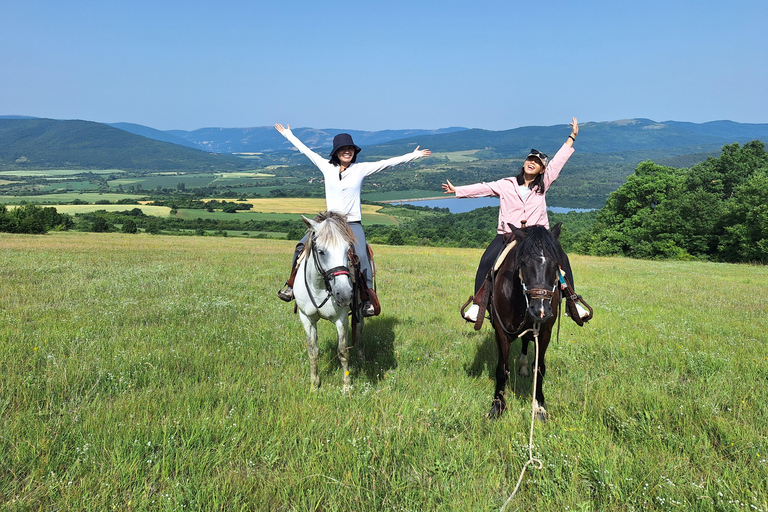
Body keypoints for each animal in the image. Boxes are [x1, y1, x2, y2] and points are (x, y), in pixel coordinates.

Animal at [293, 211, 365, 391]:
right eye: (321, 251)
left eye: (348, 250)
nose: (345, 294)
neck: (319, 287)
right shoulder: (306, 318)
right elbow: (313, 351)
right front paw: (314, 385)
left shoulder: (341, 319)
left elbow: (343, 351)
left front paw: (346, 386)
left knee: (360, 327)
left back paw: (361, 355)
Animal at [487, 223, 565, 421]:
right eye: (522, 263)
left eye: (556, 264)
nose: (540, 311)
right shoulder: (501, 331)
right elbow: (502, 369)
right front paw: (497, 406)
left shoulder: (545, 333)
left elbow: (539, 368)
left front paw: (539, 407)